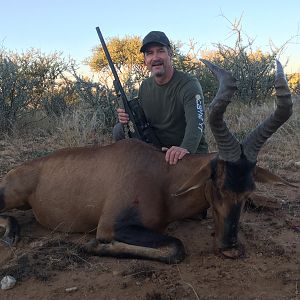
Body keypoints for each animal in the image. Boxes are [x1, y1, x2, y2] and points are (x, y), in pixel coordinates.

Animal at [0, 59, 296, 264]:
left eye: (250, 190)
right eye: (218, 185)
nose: (231, 249)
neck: (161, 176)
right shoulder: (111, 225)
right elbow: (176, 247)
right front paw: (94, 246)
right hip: (12, 196)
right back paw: (11, 233)